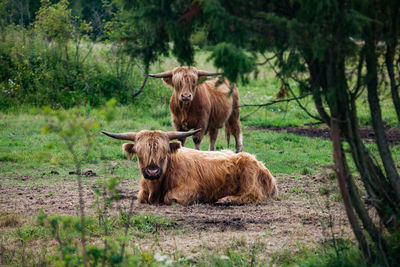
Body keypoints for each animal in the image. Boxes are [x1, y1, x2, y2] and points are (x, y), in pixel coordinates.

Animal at [102, 129, 278, 205]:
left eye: (164, 152)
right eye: (140, 153)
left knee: (252, 195)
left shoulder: (188, 190)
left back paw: (225, 200)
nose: (152, 170)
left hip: (249, 175)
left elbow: (169, 197)